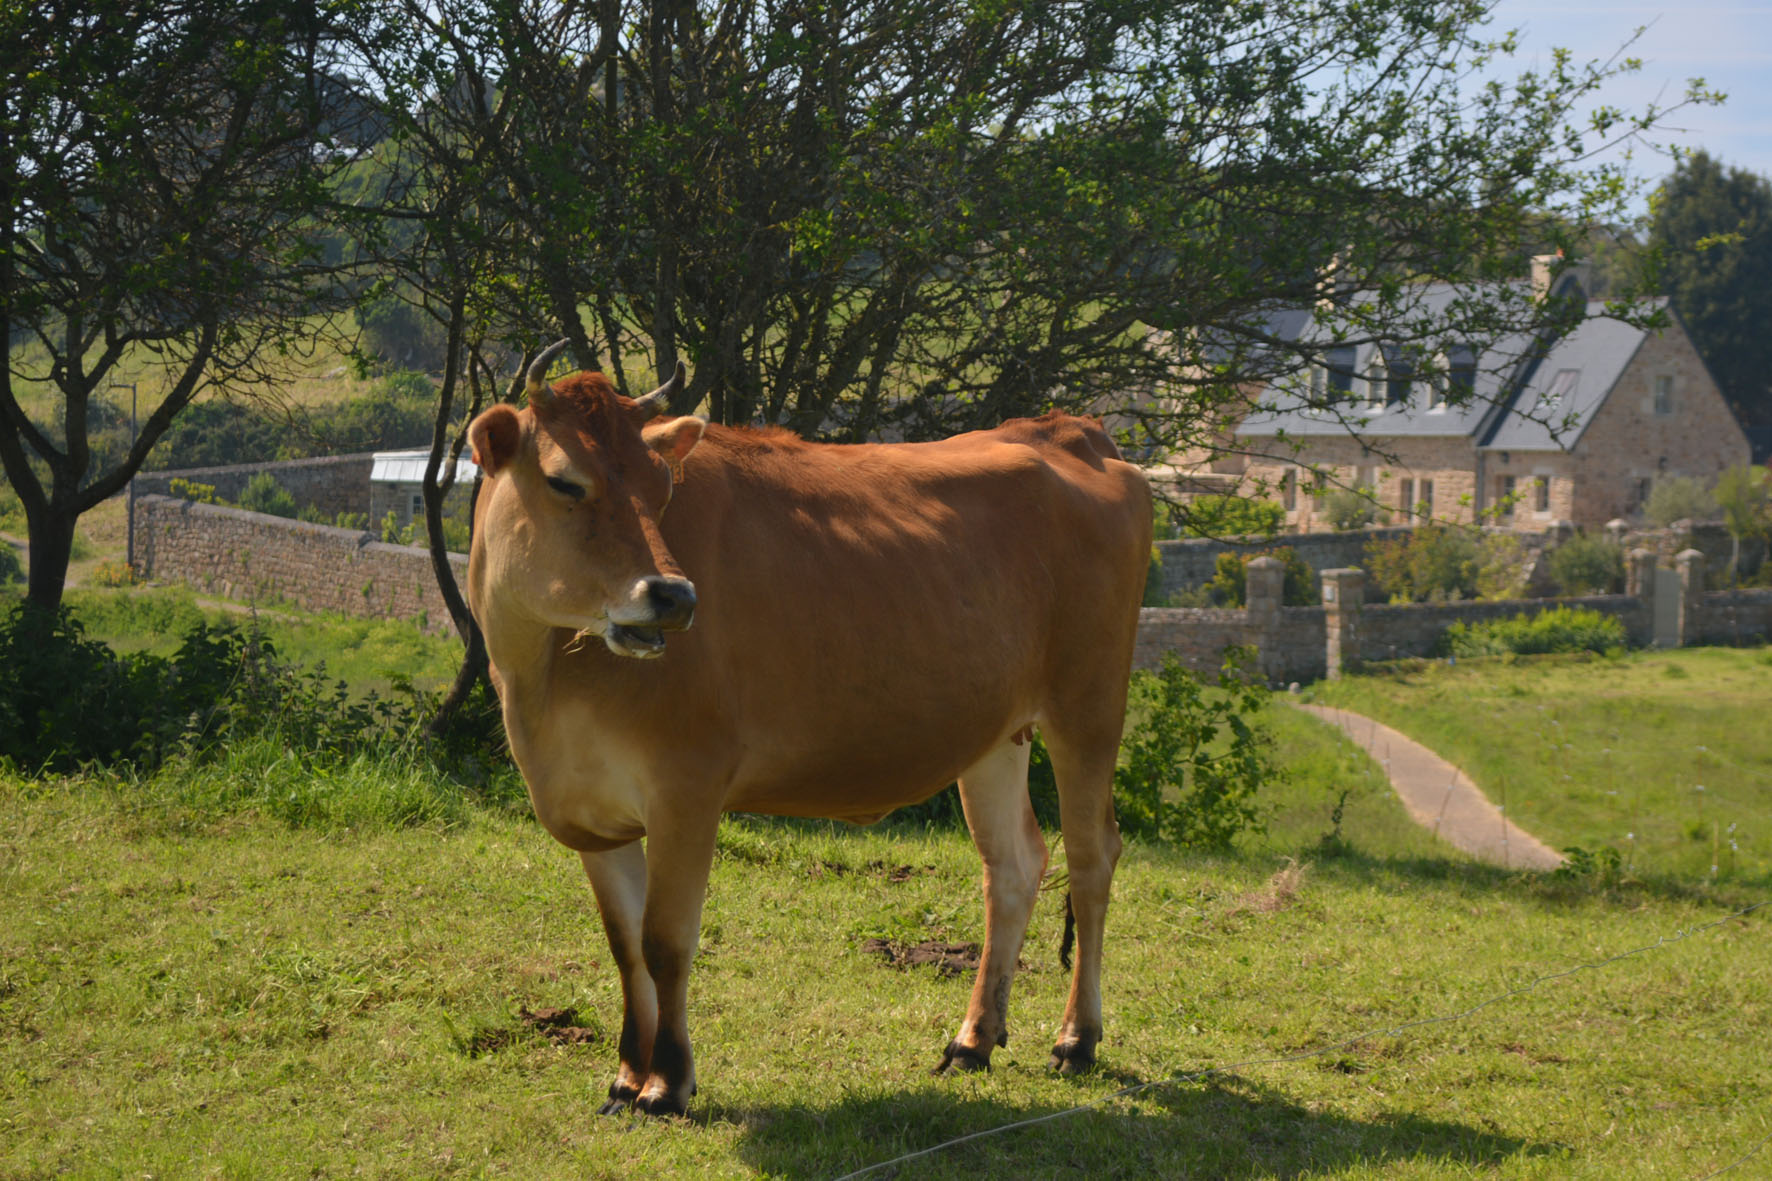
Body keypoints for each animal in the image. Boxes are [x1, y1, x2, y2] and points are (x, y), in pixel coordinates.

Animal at [466, 340, 1152, 1116]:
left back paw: (1077, 1038)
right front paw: (625, 1075)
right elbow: (625, 945)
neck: (547, 679)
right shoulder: (590, 809)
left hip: (1088, 705)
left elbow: (666, 940)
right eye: (564, 481)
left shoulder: (686, 787)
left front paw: (667, 1081)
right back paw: (972, 1040)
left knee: (1092, 857)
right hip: (996, 730)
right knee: (1013, 863)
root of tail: (1067, 430)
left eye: (660, 486)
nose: (673, 595)